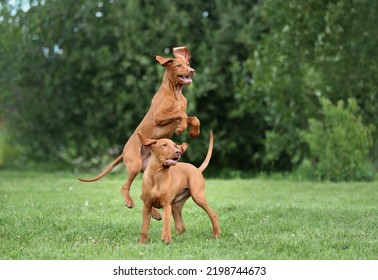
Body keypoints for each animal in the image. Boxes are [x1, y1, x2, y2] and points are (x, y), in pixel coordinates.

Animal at [78, 46, 199, 214]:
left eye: (188, 63)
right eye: (178, 65)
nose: (192, 71)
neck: (176, 92)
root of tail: (123, 151)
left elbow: (192, 117)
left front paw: (194, 132)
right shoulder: (159, 117)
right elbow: (181, 114)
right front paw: (181, 128)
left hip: (149, 167)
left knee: (144, 195)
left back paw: (155, 214)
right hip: (134, 164)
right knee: (125, 187)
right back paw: (129, 202)